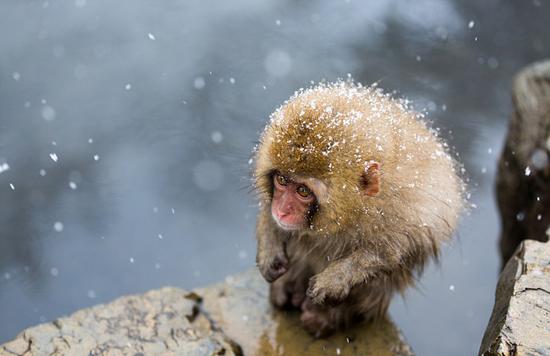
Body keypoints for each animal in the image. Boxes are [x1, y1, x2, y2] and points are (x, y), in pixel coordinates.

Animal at [254, 82, 466, 338]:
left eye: (303, 191)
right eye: (282, 180)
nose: (282, 210)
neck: (351, 211)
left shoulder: (406, 211)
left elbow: (397, 250)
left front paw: (337, 278)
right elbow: (268, 214)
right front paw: (269, 250)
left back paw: (328, 315)